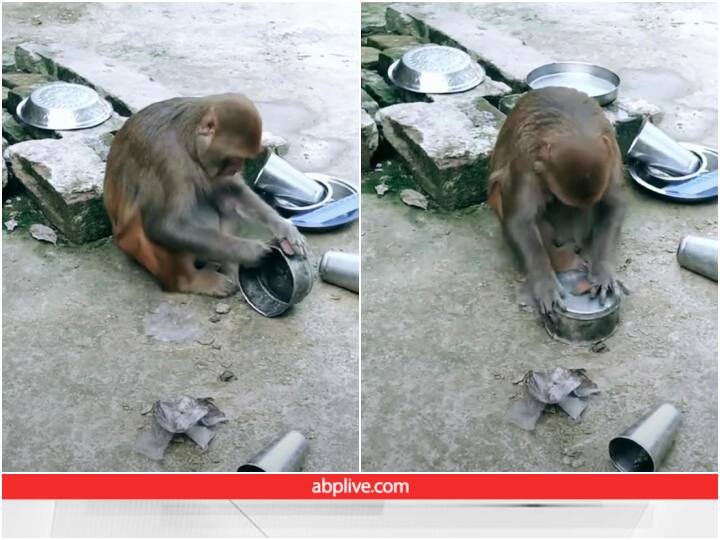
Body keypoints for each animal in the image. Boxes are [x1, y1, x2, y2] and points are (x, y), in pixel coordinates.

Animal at [102, 92, 306, 296]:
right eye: (233, 158)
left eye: (243, 159)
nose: (237, 168)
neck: (188, 141)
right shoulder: (168, 159)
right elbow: (165, 225)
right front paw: (252, 252)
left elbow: (233, 190)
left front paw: (285, 228)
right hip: (134, 245)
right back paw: (191, 281)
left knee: (226, 203)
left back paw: (229, 268)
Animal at [490, 86, 624, 314]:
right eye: (559, 199)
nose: (564, 238)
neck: (572, 127)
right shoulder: (526, 160)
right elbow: (520, 221)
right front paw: (545, 284)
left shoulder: (611, 154)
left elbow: (612, 205)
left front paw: (602, 271)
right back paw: (564, 258)